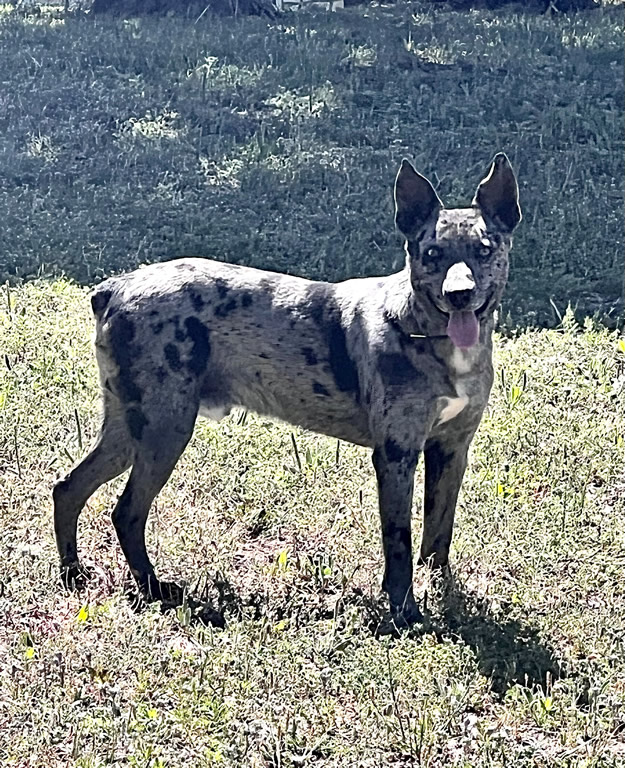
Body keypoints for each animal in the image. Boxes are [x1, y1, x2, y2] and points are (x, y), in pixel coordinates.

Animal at [53, 153, 520, 628]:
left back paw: (74, 573)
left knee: (68, 487)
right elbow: (399, 543)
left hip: (130, 427)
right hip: (165, 429)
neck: (424, 331)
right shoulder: (396, 455)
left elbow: (438, 532)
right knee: (127, 511)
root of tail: (114, 288)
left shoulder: (451, 448)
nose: (459, 294)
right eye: (432, 254)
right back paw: (153, 588)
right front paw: (404, 612)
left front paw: (441, 590)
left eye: (485, 249)